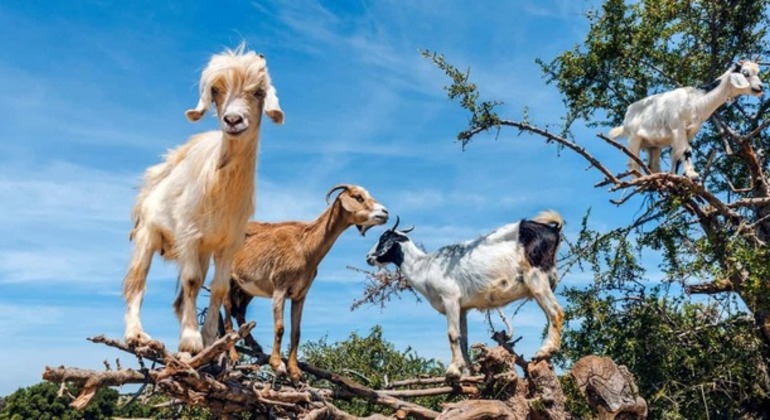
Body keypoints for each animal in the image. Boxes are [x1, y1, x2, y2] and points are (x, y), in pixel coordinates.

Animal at [123, 45, 284, 354]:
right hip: (148, 234)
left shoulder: (227, 243)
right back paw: (136, 335)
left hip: (203, 251)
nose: (233, 120)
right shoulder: (189, 234)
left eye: (259, 91)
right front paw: (190, 340)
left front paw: (209, 340)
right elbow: (192, 280)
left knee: (179, 298)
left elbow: (218, 288)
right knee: (136, 284)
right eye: (216, 91)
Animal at [227, 184, 389, 382]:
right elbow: (280, 327)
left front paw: (295, 371)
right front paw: (277, 365)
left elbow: (296, 332)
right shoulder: (280, 288)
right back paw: (233, 356)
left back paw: (254, 346)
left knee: (239, 312)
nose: (385, 212)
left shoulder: (300, 294)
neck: (304, 245)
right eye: (358, 197)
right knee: (226, 313)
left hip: (246, 289)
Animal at [365, 212, 564, 380]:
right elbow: (463, 339)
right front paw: (469, 373)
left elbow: (452, 335)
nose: (368, 257)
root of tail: (553, 230)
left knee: (556, 312)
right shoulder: (462, 308)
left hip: (536, 278)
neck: (424, 266)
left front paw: (453, 371)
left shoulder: (450, 298)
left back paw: (544, 351)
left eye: (384, 238)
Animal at [609, 60, 764, 180]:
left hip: (654, 145)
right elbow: (686, 150)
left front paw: (675, 176)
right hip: (634, 138)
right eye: (745, 73)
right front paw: (693, 174)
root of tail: (627, 116)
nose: (761, 87)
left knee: (652, 164)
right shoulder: (677, 126)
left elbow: (677, 155)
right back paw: (639, 179)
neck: (694, 101)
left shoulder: (689, 132)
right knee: (633, 162)